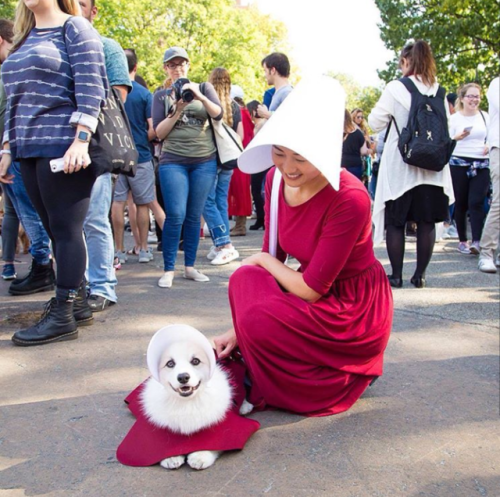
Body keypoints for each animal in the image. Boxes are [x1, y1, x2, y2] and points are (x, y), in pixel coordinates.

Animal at [141, 324, 252, 470]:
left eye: (195, 361)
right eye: (170, 363)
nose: (183, 377)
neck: (187, 402)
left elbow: (213, 441)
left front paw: (199, 456)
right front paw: (171, 457)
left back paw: (245, 406)